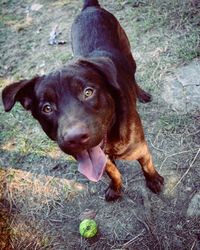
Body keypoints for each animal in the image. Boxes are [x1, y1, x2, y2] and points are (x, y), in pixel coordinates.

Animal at [1, 0, 164, 200]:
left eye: (88, 92)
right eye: (47, 108)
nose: (76, 139)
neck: (110, 138)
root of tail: (90, 7)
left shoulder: (140, 149)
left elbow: (147, 166)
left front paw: (154, 180)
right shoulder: (102, 160)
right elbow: (113, 172)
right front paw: (115, 188)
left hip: (129, 55)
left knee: (133, 75)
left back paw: (141, 93)